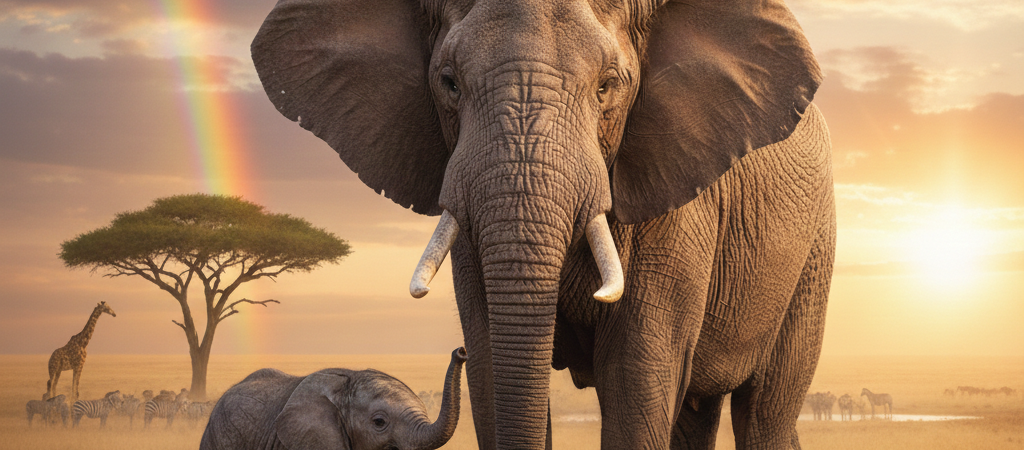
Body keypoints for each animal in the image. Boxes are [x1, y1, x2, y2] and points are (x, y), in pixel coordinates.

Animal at [252, 0, 835, 448]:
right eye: (449, 83)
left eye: (607, 87)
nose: (454, 351)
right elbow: (491, 366)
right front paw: (479, 353)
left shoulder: (678, 200)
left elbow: (635, 380)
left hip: (812, 256)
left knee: (764, 412)